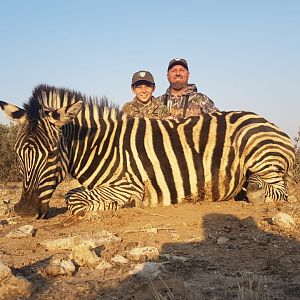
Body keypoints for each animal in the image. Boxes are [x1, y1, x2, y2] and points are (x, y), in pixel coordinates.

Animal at [0, 84, 296, 218]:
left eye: (51, 153)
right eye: (17, 154)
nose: (24, 211)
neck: (100, 146)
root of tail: (269, 122)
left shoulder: (128, 185)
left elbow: (74, 197)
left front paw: (125, 205)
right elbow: (74, 194)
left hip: (258, 151)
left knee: (273, 191)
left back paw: (252, 192)